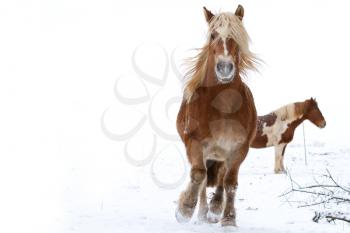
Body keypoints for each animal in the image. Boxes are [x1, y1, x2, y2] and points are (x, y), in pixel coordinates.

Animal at [174, 5, 258, 227]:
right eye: (213, 35)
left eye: (236, 36)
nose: (225, 68)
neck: (223, 106)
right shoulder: (195, 143)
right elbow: (198, 175)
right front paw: (184, 210)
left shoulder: (239, 148)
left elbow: (230, 183)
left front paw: (227, 218)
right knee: (204, 180)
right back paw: (202, 213)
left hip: (221, 154)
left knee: (220, 177)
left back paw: (214, 210)